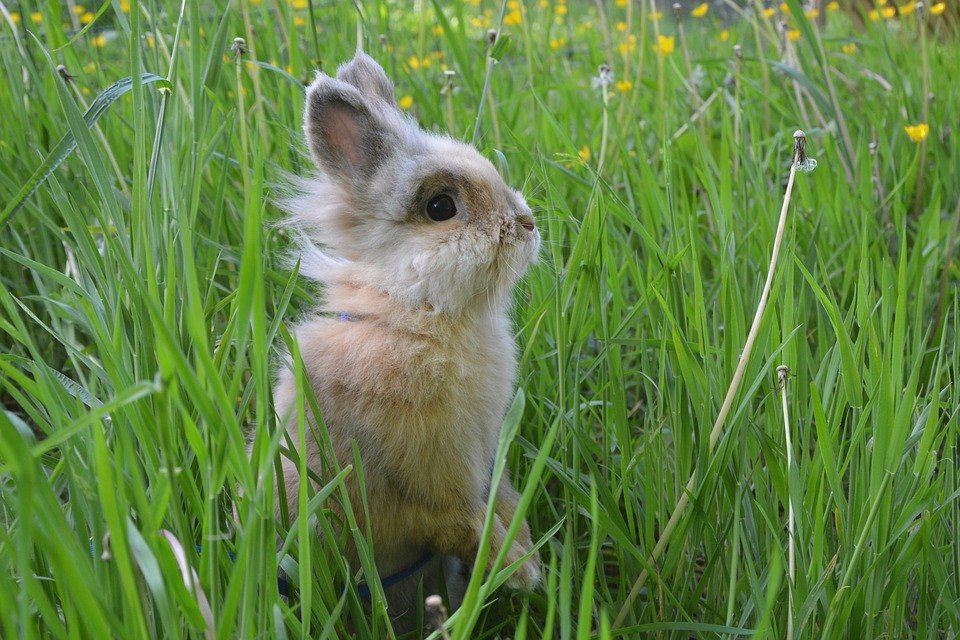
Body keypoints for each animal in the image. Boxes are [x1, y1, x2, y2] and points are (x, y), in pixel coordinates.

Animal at [272, 51, 540, 632]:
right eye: (441, 207)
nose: (527, 224)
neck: (415, 315)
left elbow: (502, 502)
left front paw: (526, 555)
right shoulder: (427, 488)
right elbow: (464, 524)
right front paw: (522, 570)